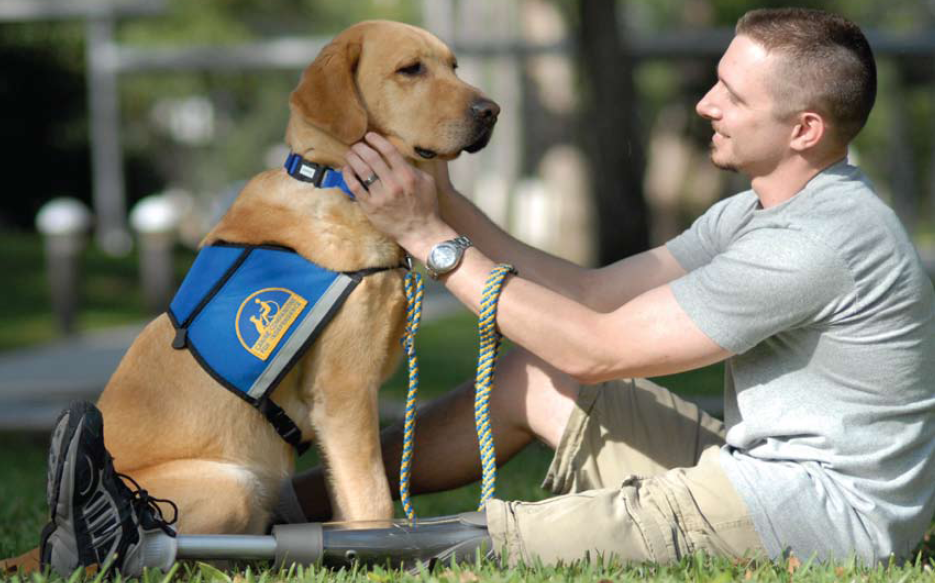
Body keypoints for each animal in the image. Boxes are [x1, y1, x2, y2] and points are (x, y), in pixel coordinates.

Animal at [95, 20, 500, 536]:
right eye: (411, 69)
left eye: (454, 66)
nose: (492, 111)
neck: (335, 183)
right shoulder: (345, 392)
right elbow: (373, 500)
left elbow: (351, 502)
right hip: (233, 483)